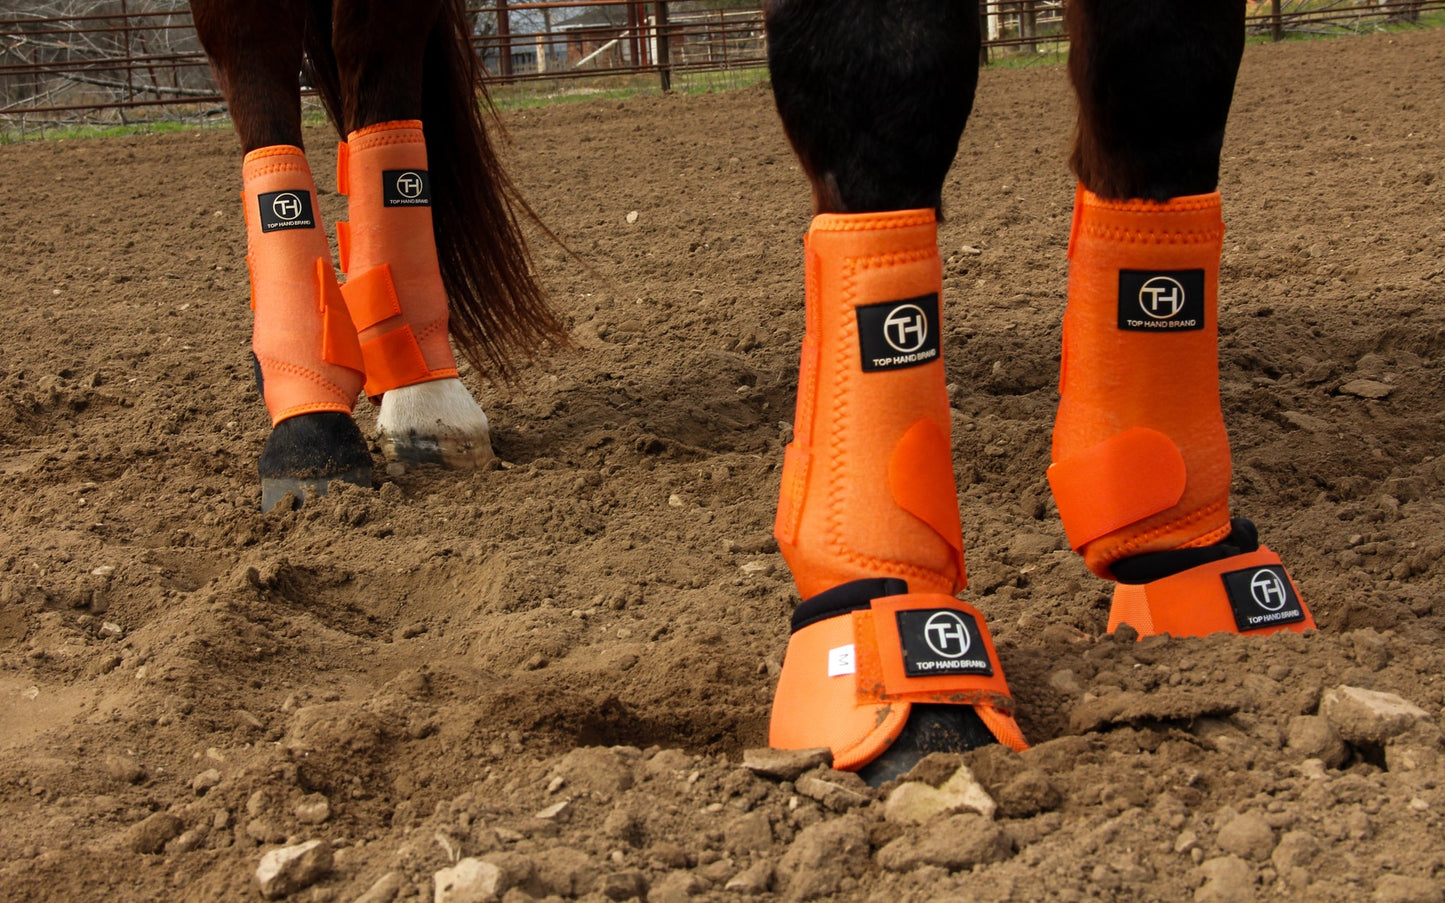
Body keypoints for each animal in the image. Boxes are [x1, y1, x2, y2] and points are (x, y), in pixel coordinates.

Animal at [186, 0, 1317, 780]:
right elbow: (890, 81)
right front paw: (899, 637)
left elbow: (1160, 80)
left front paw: (1188, 562)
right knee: (261, 59)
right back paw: (313, 427)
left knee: (375, 73)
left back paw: (419, 391)